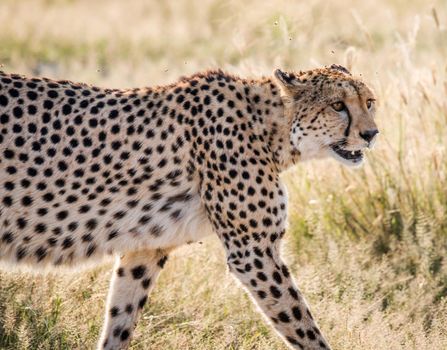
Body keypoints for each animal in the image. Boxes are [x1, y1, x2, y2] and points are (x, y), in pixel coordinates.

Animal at [0, 64, 378, 348]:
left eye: (369, 102)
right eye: (338, 105)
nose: (372, 134)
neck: (271, 129)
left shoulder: (145, 250)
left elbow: (120, 320)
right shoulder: (254, 252)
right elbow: (302, 323)